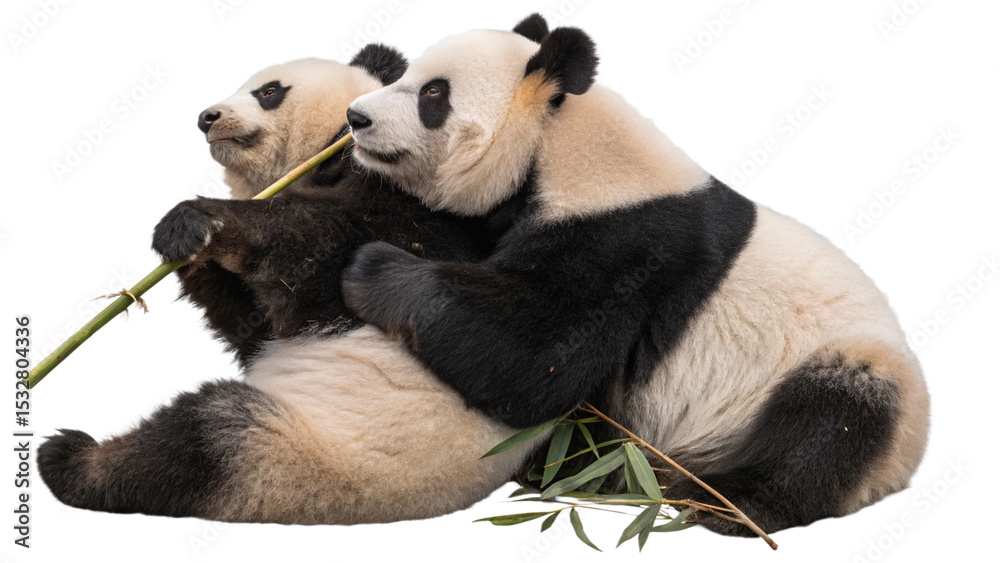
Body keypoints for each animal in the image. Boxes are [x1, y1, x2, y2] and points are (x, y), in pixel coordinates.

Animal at [37, 46, 535, 525]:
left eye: (269, 92)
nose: (207, 117)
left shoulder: (411, 208)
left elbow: (327, 253)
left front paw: (199, 219)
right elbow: (251, 320)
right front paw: (188, 248)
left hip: (302, 459)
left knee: (196, 440)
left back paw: (72, 459)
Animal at [341, 14, 931, 536]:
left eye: (433, 94)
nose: (355, 117)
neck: (555, 140)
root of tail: (902, 469)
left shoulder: (623, 245)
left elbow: (536, 354)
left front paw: (371, 268)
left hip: (839, 373)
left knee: (830, 421)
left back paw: (723, 503)